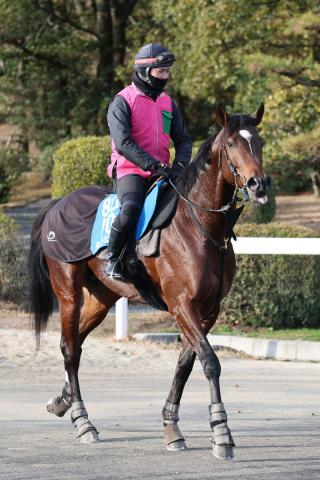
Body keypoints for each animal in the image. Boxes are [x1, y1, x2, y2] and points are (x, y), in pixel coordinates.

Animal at [27, 104, 268, 458]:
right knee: (69, 349)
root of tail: (57, 203)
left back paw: (63, 400)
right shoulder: (182, 306)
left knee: (76, 344)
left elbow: (185, 365)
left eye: (260, 142)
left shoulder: (208, 311)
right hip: (69, 292)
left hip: (102, 299)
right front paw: (221, 434)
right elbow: (210, 362)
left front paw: (171, 427)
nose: (258, 184)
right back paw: (84, 422)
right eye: (232, 144)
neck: (199, 226)